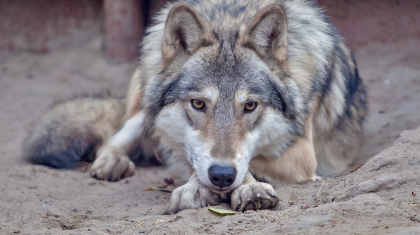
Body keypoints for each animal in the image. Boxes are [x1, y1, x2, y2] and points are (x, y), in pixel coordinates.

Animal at [22, 0, 368, 213]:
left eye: (250, 106)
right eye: (199, 104)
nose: (221, 176)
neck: (230, 16)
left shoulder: (303, 156)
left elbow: (247, 161)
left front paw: (247, 190)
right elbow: (199, 161)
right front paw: (200, 188)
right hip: (145, 101)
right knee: (120, 134)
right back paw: (113, 162)